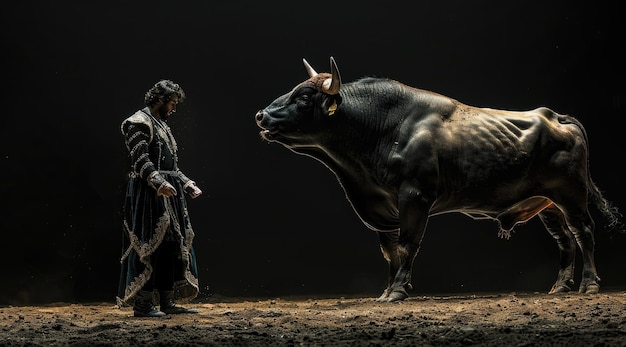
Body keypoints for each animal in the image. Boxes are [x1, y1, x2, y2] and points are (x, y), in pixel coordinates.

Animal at [254, 56, 620, 302]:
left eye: (303, 97)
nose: (261, 115)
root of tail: (554, 115)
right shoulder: (384, 208)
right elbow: (391, 251)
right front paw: (386, 291)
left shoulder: (415, 196)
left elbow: (408, 244)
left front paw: (399, 291)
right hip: (548, 204)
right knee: (565, 240)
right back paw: (560, 287)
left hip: (571, 194)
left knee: (584, 233)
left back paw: (589, 285)